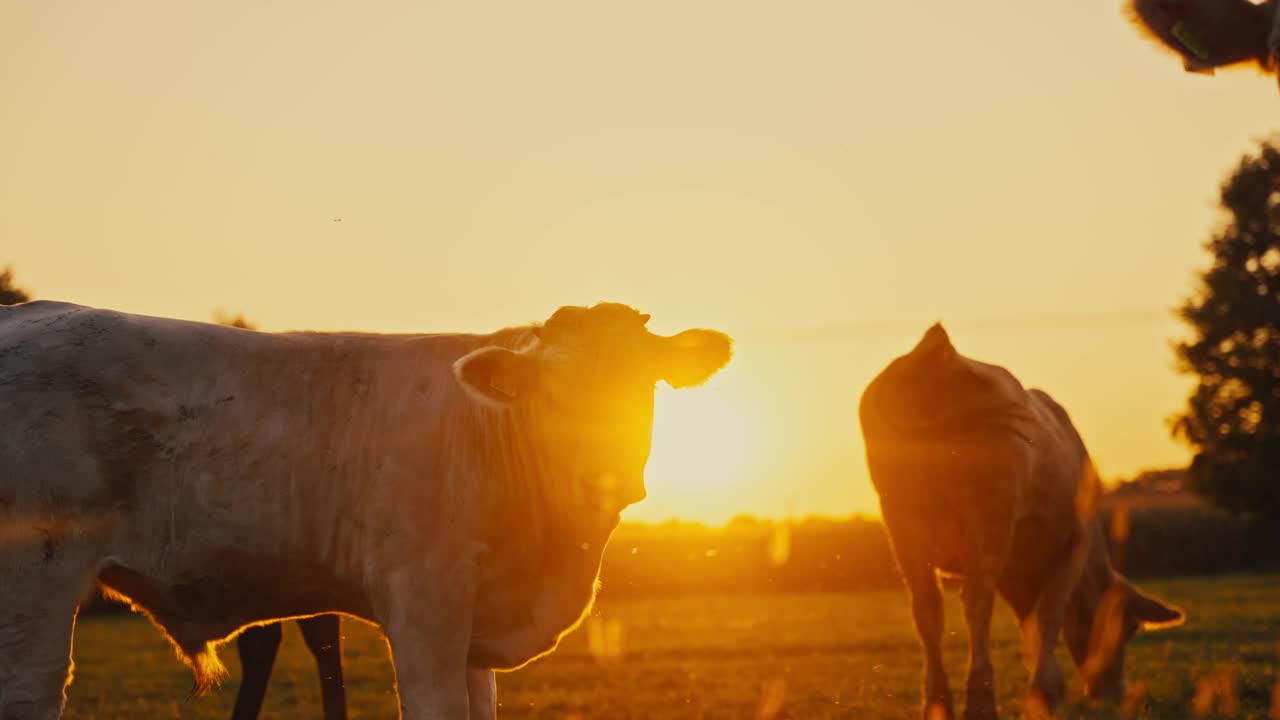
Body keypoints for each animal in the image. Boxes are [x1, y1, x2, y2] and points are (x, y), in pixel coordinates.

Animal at [0, 299, 732, 712]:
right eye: (549, 395)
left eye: (644, 386)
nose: (603, 477)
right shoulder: (424, 604)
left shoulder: (474, 633)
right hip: (35, 577)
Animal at [855, 324, 1182, 717]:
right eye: (1130, 628)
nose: (1114, 691)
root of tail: (936, 352)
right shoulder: (1073, 543)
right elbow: (1049, 615)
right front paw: (1045, 690)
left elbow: (1031, 622)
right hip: (987, 516)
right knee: (975, 601)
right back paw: (980, 703)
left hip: (902, 521)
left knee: (927, 607)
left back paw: (937, 704)